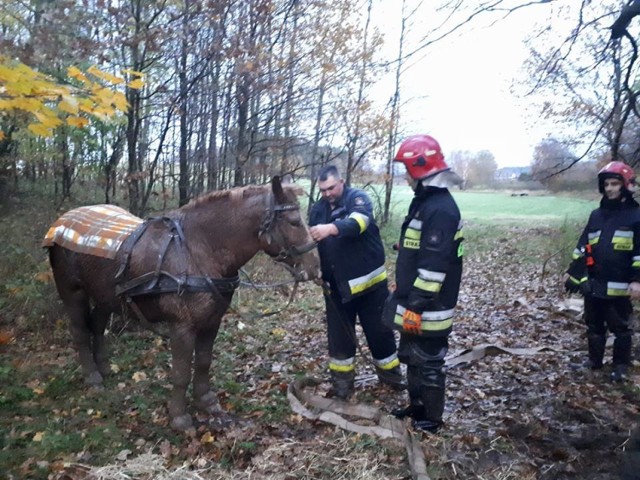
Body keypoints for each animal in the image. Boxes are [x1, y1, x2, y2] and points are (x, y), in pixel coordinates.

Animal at [46, 177, 320, 432]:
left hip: (106, 295)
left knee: (98, 324)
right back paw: (92, 376)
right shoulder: (182, 327)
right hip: (73, 293)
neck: (198, 250)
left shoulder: (212, 322)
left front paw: (206, 401)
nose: (314, 267)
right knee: (80, 331)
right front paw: (179, 417)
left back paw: (103, 367)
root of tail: (62, 221)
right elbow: (180, 373)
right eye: (294, 221)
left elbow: (203, 362)